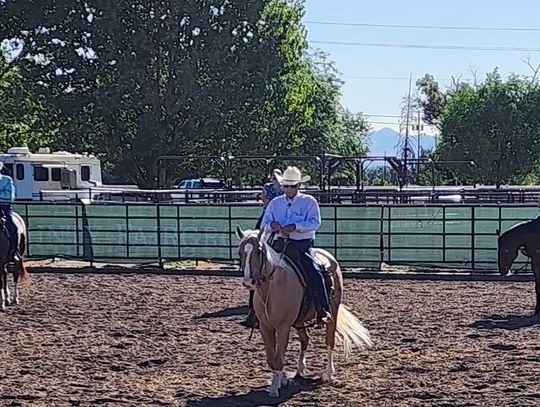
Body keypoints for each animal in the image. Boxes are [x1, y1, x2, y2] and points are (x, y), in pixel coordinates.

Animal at [236, 228, 372, 400]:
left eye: (259, 251)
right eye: (240, 252)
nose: (248, 282)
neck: (272, 287)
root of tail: (329, 258)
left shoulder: (283, 328)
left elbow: (278, 357)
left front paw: (274, 388)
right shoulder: (265, 327)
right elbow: (271, 358)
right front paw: (282, 379)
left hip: (332, 312)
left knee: (329, 341)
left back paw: (328, 374)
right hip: (299, 320)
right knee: (305, 340)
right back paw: (300, 369)